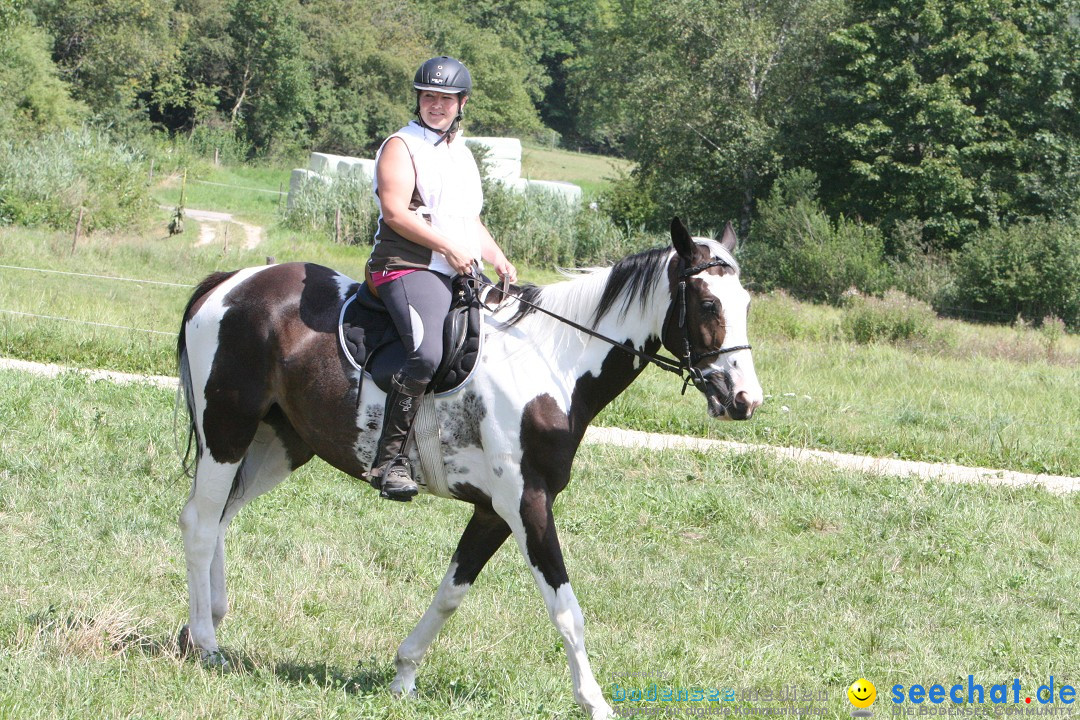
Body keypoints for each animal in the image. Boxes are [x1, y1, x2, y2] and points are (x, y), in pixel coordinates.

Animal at [177, 216, 764, 716]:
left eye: (745, 303)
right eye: (707, 304)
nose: (744, 400)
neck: (552, 362)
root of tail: (232, 284)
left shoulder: (492, 512)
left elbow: (451, 593)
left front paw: (404, 675)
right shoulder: (527, 503)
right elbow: (565, 609)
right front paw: (595, 701)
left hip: (278, 444)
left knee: (219, 517)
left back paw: (206, 621)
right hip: (227, 430)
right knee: (201, 523)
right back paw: (206, 643)